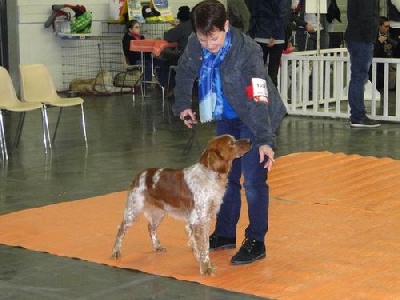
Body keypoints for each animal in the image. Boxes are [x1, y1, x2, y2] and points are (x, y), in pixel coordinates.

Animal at [111, 135, 252, 276]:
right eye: (231, 143)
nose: (250, 141)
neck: (210, 176)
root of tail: (140, 175)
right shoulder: (198, 221)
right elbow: (202, 246)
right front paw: (206, 268)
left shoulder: (205, 219)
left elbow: (204, 245)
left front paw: (204, 263)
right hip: (133, 210)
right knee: (121, 229)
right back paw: (115, 252)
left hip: (159, 213)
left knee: (150, 227)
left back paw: (158, 246)